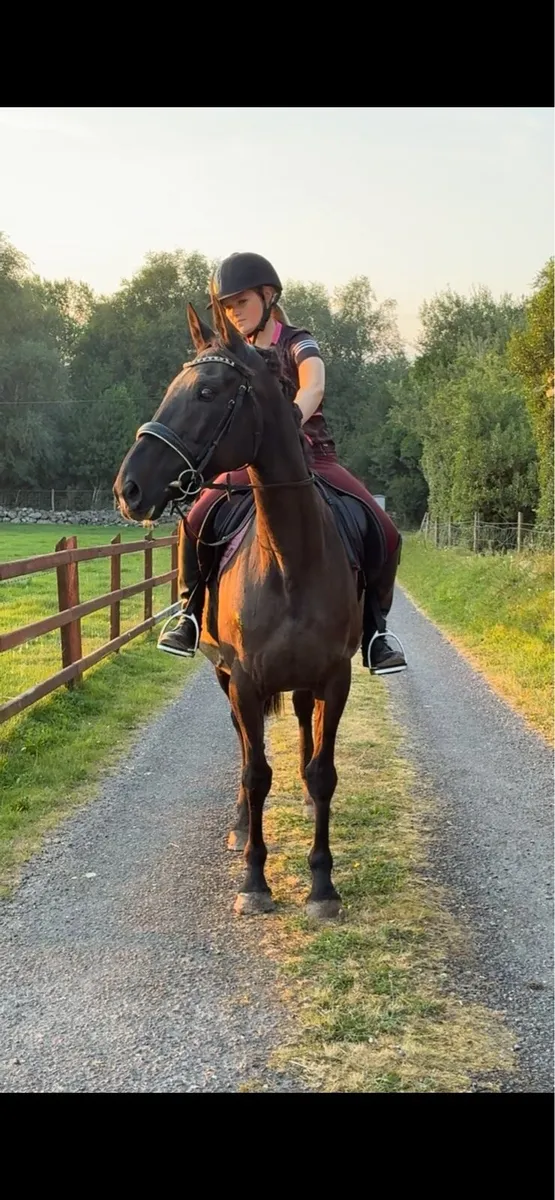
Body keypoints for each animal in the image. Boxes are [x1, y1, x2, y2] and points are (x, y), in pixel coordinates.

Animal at [113, 295, 366, 919]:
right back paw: (237, 822)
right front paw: (255, 879)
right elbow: (255, 773)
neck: (290, 559)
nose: (128, 489)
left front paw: (322, 884)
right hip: (224, 674)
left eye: (207, 392)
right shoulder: (247, 680)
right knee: (242, 744)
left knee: (300, 728)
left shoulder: (335, 677)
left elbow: (323, 773)